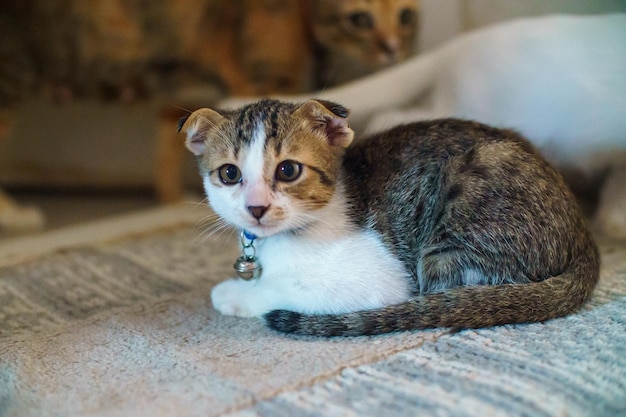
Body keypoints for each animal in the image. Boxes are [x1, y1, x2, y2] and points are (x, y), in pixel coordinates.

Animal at [178, 99, 596, 336]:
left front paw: (235, 294)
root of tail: (581, 233)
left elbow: (281, 289)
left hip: (454, 244)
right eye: (229, 174)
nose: (256, 207)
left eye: (288, 170)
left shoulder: (380, 280)